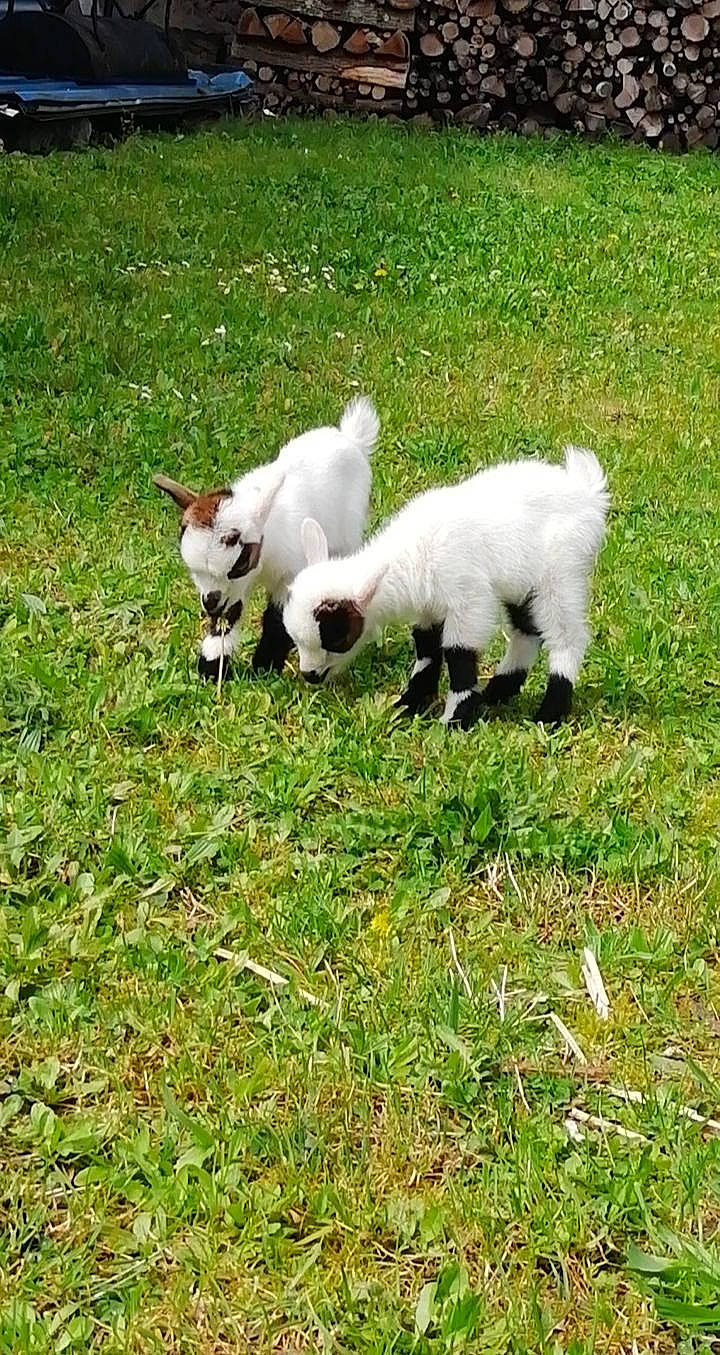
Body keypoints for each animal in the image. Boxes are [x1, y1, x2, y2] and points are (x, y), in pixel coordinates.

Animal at [153, 397, 379, 681]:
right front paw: (212, 668)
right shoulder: (227, 592)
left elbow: (276, 618)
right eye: (192, 569)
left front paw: (265, 666)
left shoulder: (287, 573)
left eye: (239, 564)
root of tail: (351, 437)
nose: (209, 603)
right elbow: (229, 615)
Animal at [283, 446, 609, 727]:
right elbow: (427, 648)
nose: (309, 675)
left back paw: (549, 714)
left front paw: (455, 719)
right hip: (523, 582)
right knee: (526, 632)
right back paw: (497, 693)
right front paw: (408, 704)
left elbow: (458, 652)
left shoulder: (469, 598)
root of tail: (589, 494)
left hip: (561, 573)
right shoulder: (429, 607)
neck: (414, 554)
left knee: (567, 636)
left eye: (336, 637)